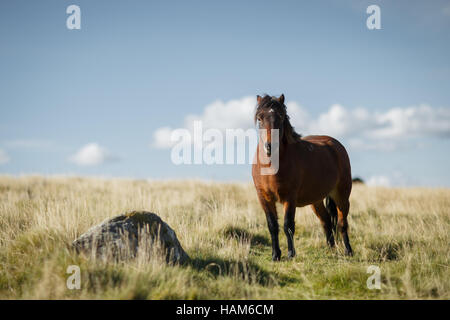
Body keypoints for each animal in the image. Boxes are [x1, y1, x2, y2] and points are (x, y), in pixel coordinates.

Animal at [251, 94, 354, 262]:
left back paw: (348, 250)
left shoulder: (290, 198)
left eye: (281, 117)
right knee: (326, 221)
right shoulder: (264, 197)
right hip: (316, 200)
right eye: (259, 118)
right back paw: (330, 249)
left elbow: (288, 225)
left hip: (342, 195)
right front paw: (275, 255)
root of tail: (336, 145)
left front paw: (290, 254)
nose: (269, 146)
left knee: (341, 222)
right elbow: (272, 226)